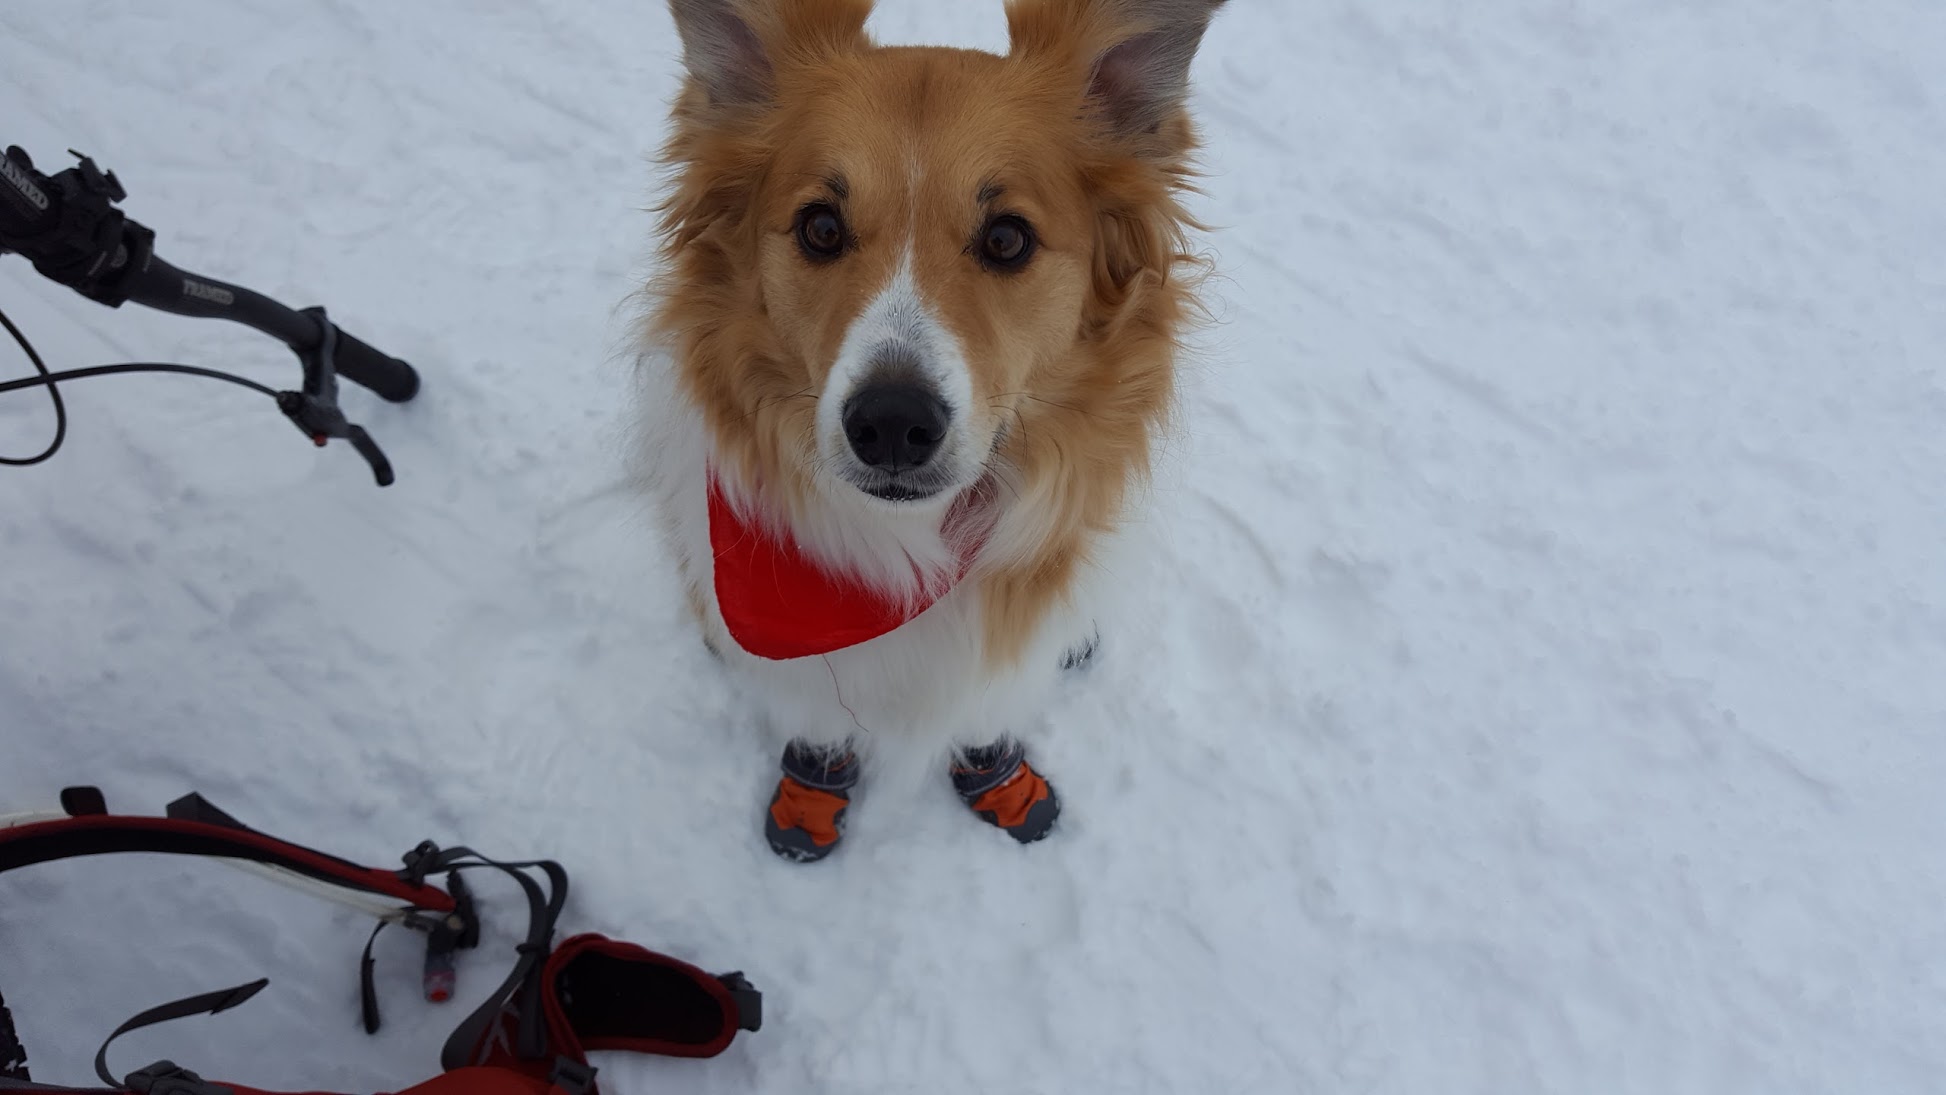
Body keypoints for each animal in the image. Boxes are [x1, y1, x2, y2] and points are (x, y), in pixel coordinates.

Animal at [630, 0, 1222, 859]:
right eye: (819, 227)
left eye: (1007, 238)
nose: (891, 422)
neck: (913, 550)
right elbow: (820, 722)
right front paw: (813, 794)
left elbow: (983, 711)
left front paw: (1002, 780)